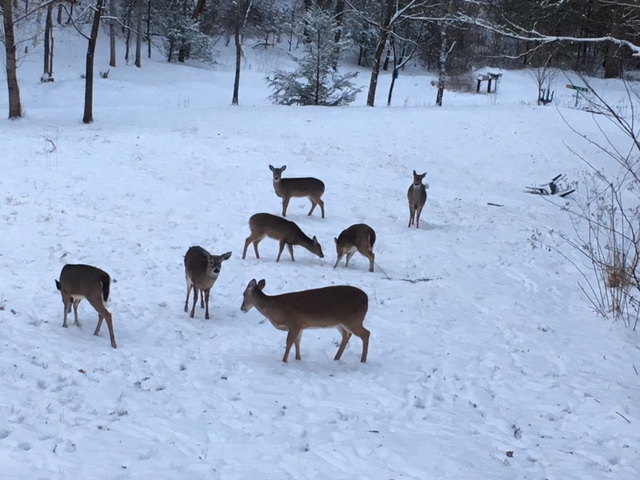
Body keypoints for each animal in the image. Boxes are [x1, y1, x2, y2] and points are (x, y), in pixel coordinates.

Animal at [240, 279, 370, 363]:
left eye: (243, 294)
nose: (242, 308)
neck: (277, 311)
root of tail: (366, 298)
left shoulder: (294, 323)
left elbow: (289, 342)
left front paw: (284, 361)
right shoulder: (300, 326)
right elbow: (297, 342)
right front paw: (298, 359)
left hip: (353, 320)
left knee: (366, 333)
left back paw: (363, 360)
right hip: (341, 322)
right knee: (347, 335)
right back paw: (336, 358)